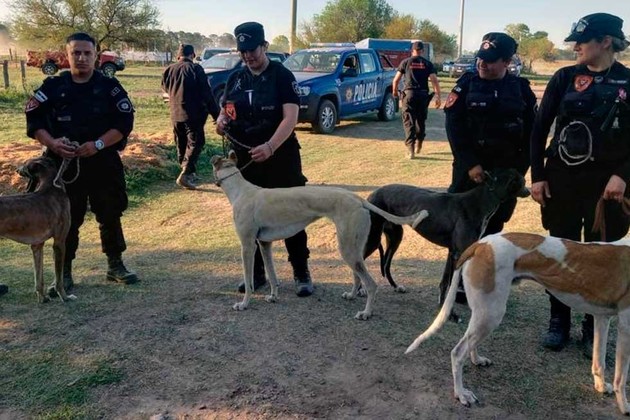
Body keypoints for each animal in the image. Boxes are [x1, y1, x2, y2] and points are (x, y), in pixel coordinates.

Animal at [0, 156, 75, 303]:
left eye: (25, 164)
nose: (17, 170)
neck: (51, 187)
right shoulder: (59, 242)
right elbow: (59, 280)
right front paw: (65, 297)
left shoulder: (37, 245)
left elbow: (39, 278)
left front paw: (43, 298)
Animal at [211, 151, 429, 320]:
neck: (241, 191)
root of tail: (358, 199)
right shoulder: (265, 244)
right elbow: (272, 275)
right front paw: (273, 296)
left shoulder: (248, 245)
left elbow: (248, 281)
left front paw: (243, 304)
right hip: (353, 249)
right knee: (357, 277)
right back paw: (351, 295)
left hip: (347, 249)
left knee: (371, 284)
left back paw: (366, 313)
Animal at [364, 167, 529, 301]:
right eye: (522, 181)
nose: (529, 191)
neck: (480, 201)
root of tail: (372, 195)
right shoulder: (458, 253)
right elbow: (450, 285)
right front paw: (451, 315)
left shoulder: (453, 252)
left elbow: (445, 283)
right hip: (373, 239)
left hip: (395, 236)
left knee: (386, 264)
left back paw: (395, 286)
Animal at [406, 232, 630, 415]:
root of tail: (481, 244)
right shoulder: (626, 327)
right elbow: (621, 377)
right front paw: (624, 406)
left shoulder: (601, 317)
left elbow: (599, 361)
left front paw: (601, 387)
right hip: (492, 312)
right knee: (457, 352)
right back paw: (461, 394)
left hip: (483, 311)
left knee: (470, 342)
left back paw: (477, 360)